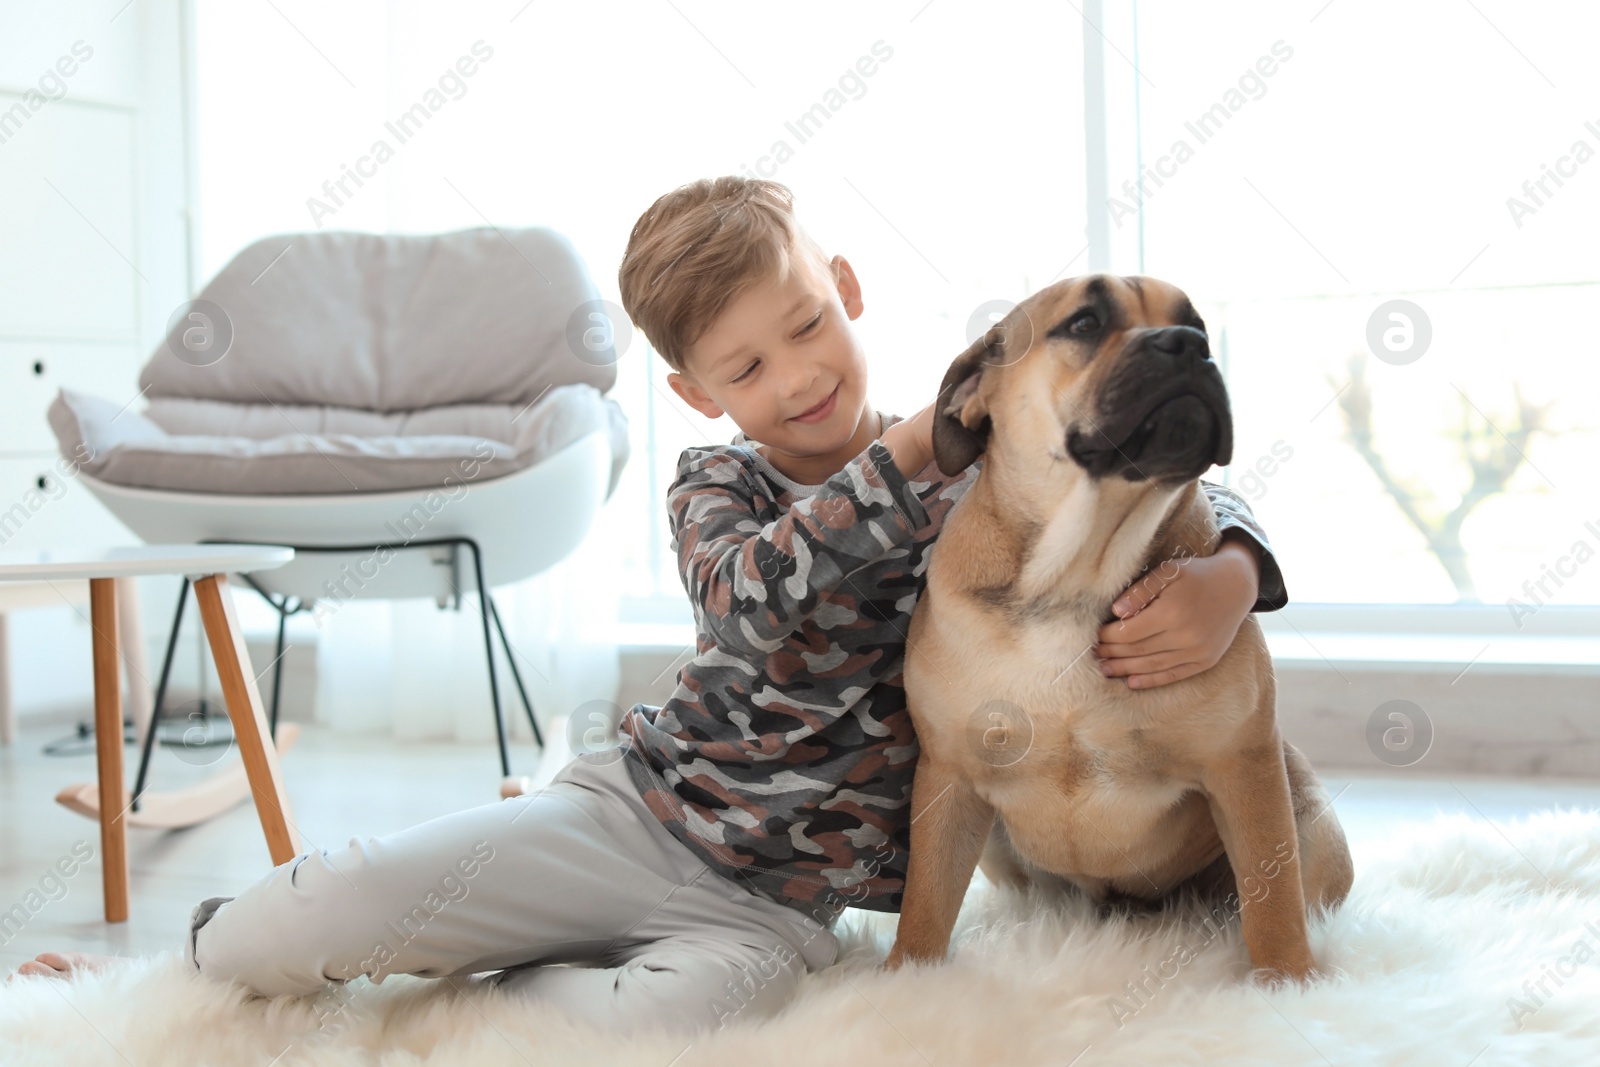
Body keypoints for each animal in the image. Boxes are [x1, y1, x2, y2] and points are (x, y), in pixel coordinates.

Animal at [883, 271, 1356, 979]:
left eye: (1200, 325)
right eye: (1085, 323)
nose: (1187, 344)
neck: (1078, 572)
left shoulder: (1244, 767)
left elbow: (1273, 901)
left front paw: (1289, 982)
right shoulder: (949, 778)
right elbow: (926, 900)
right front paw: (904, 979)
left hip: (1312, 829)